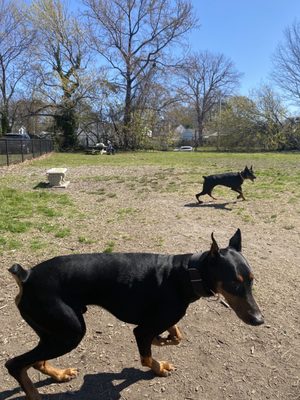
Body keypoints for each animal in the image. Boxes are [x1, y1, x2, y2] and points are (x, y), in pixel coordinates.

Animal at [4, 228, 262, 400]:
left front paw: (164, 338)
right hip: (70, 332)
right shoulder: (141, 330)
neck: (187, 274)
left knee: (36, 361)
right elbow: (146, 355)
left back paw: (59, 374)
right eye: (234, 283)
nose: (259, 320)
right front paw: (159, 365)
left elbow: (176, 336)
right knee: (14, 364)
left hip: (53, 331)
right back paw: (35, 393)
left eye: (251, 280)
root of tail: (26, 276)